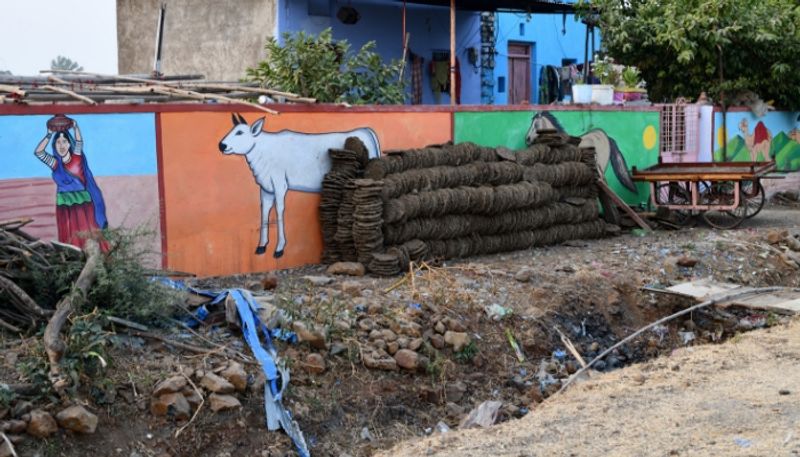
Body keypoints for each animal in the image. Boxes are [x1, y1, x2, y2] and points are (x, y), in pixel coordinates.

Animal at [219, 112, 382, 256]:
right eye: (232, 130)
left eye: (240, 132)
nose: (221, 145)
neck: (262, 149)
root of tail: (366, 130)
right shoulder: (266, 188)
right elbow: (264, 211)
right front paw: (261, 246)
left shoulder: (280, 184)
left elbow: (279, 211)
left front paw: (279, 248)